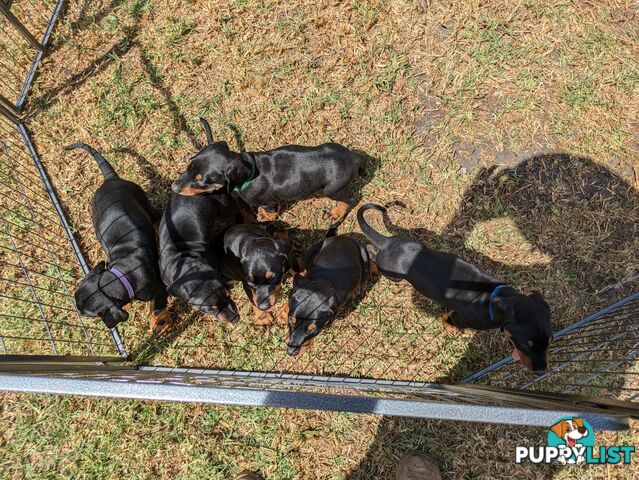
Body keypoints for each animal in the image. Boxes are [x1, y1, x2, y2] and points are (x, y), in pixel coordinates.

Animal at [67, 142, 168, 334]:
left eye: (86, 314)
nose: (77, 315)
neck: (123, 275)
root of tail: (110, 179)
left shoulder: (160, 289)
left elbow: (158, 308)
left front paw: (157, 323)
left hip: (143, 200)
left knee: (156, 217)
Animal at [172, 119, 362, 226]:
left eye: (201, 180)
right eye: (188, 166)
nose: (173, 188)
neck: (249, 175)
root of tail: (353, 157)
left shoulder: (270, 203)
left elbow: (269, 214)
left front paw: (264, 217)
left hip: (331, 189)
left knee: (352, 199)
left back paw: (335, 214)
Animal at [284, 226, 370, 356]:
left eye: (313, 329)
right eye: (291, 320)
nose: (291, 352)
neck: (323, 281)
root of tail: (344, 237)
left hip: (365, 260)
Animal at [358, 203, 552, 376]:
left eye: (549, 340)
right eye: (525, 344)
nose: (541, 372)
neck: (493, 296)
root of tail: (387, 243)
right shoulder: (463, 318)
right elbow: (449, 320)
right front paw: (452, 330)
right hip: (393, 274)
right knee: (372, 254)